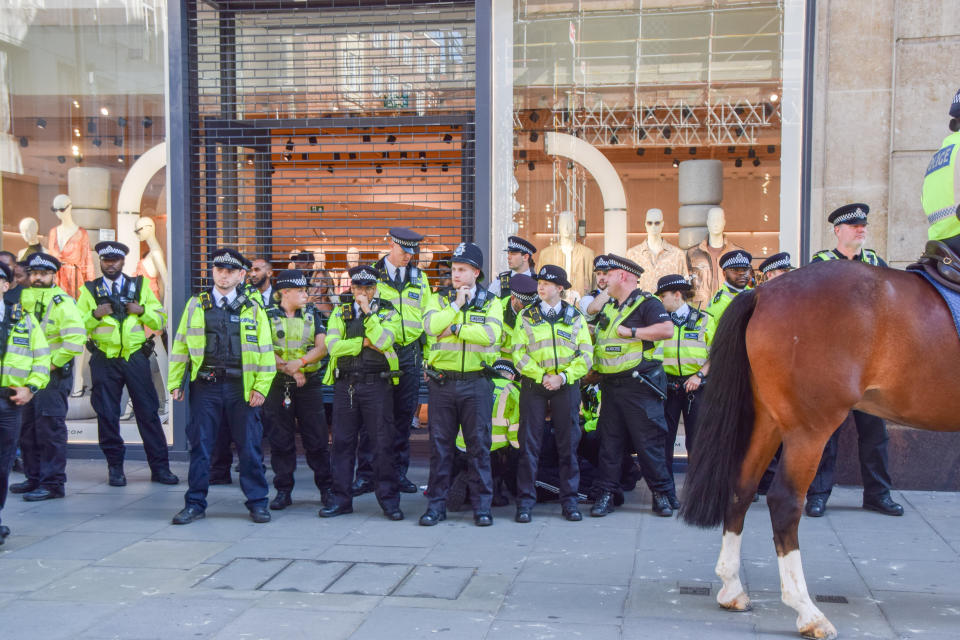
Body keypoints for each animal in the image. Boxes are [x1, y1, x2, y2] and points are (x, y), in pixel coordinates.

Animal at [684, 258, 960, 636]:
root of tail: (762, 292)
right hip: (810, 428)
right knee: (784, 501)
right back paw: (807, 610)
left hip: (769, 420)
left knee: (741, 487)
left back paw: (732, 588)